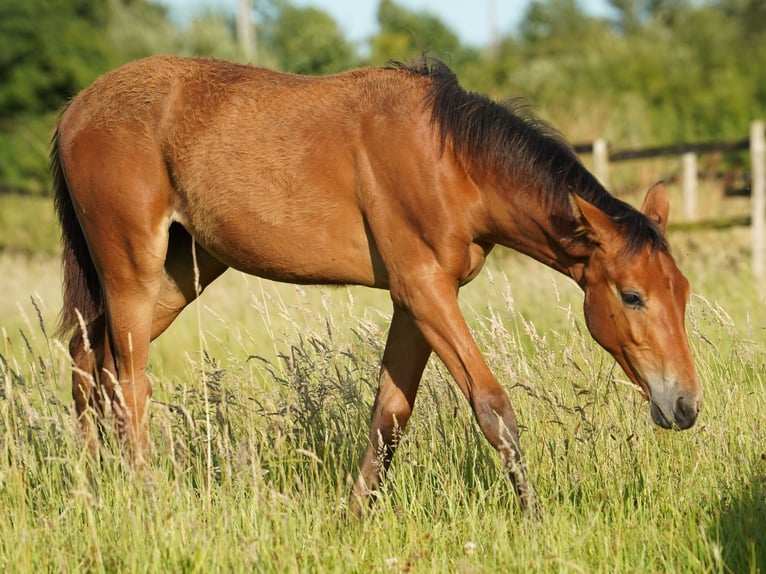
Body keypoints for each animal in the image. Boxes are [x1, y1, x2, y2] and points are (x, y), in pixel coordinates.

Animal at [51, 56, 704, 516]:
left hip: (179, 274)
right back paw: (143, 498)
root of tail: (77, 110)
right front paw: (535, 519)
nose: (685, 406)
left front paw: (353, 518)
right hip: (131, 272)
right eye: (632, 295)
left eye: (684, 294)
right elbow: (494, 407)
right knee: (127, 381)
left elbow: (389, 414)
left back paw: (92, 484)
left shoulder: (416, 303)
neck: (448, 160)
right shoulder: (424, 292)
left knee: (89, 358)